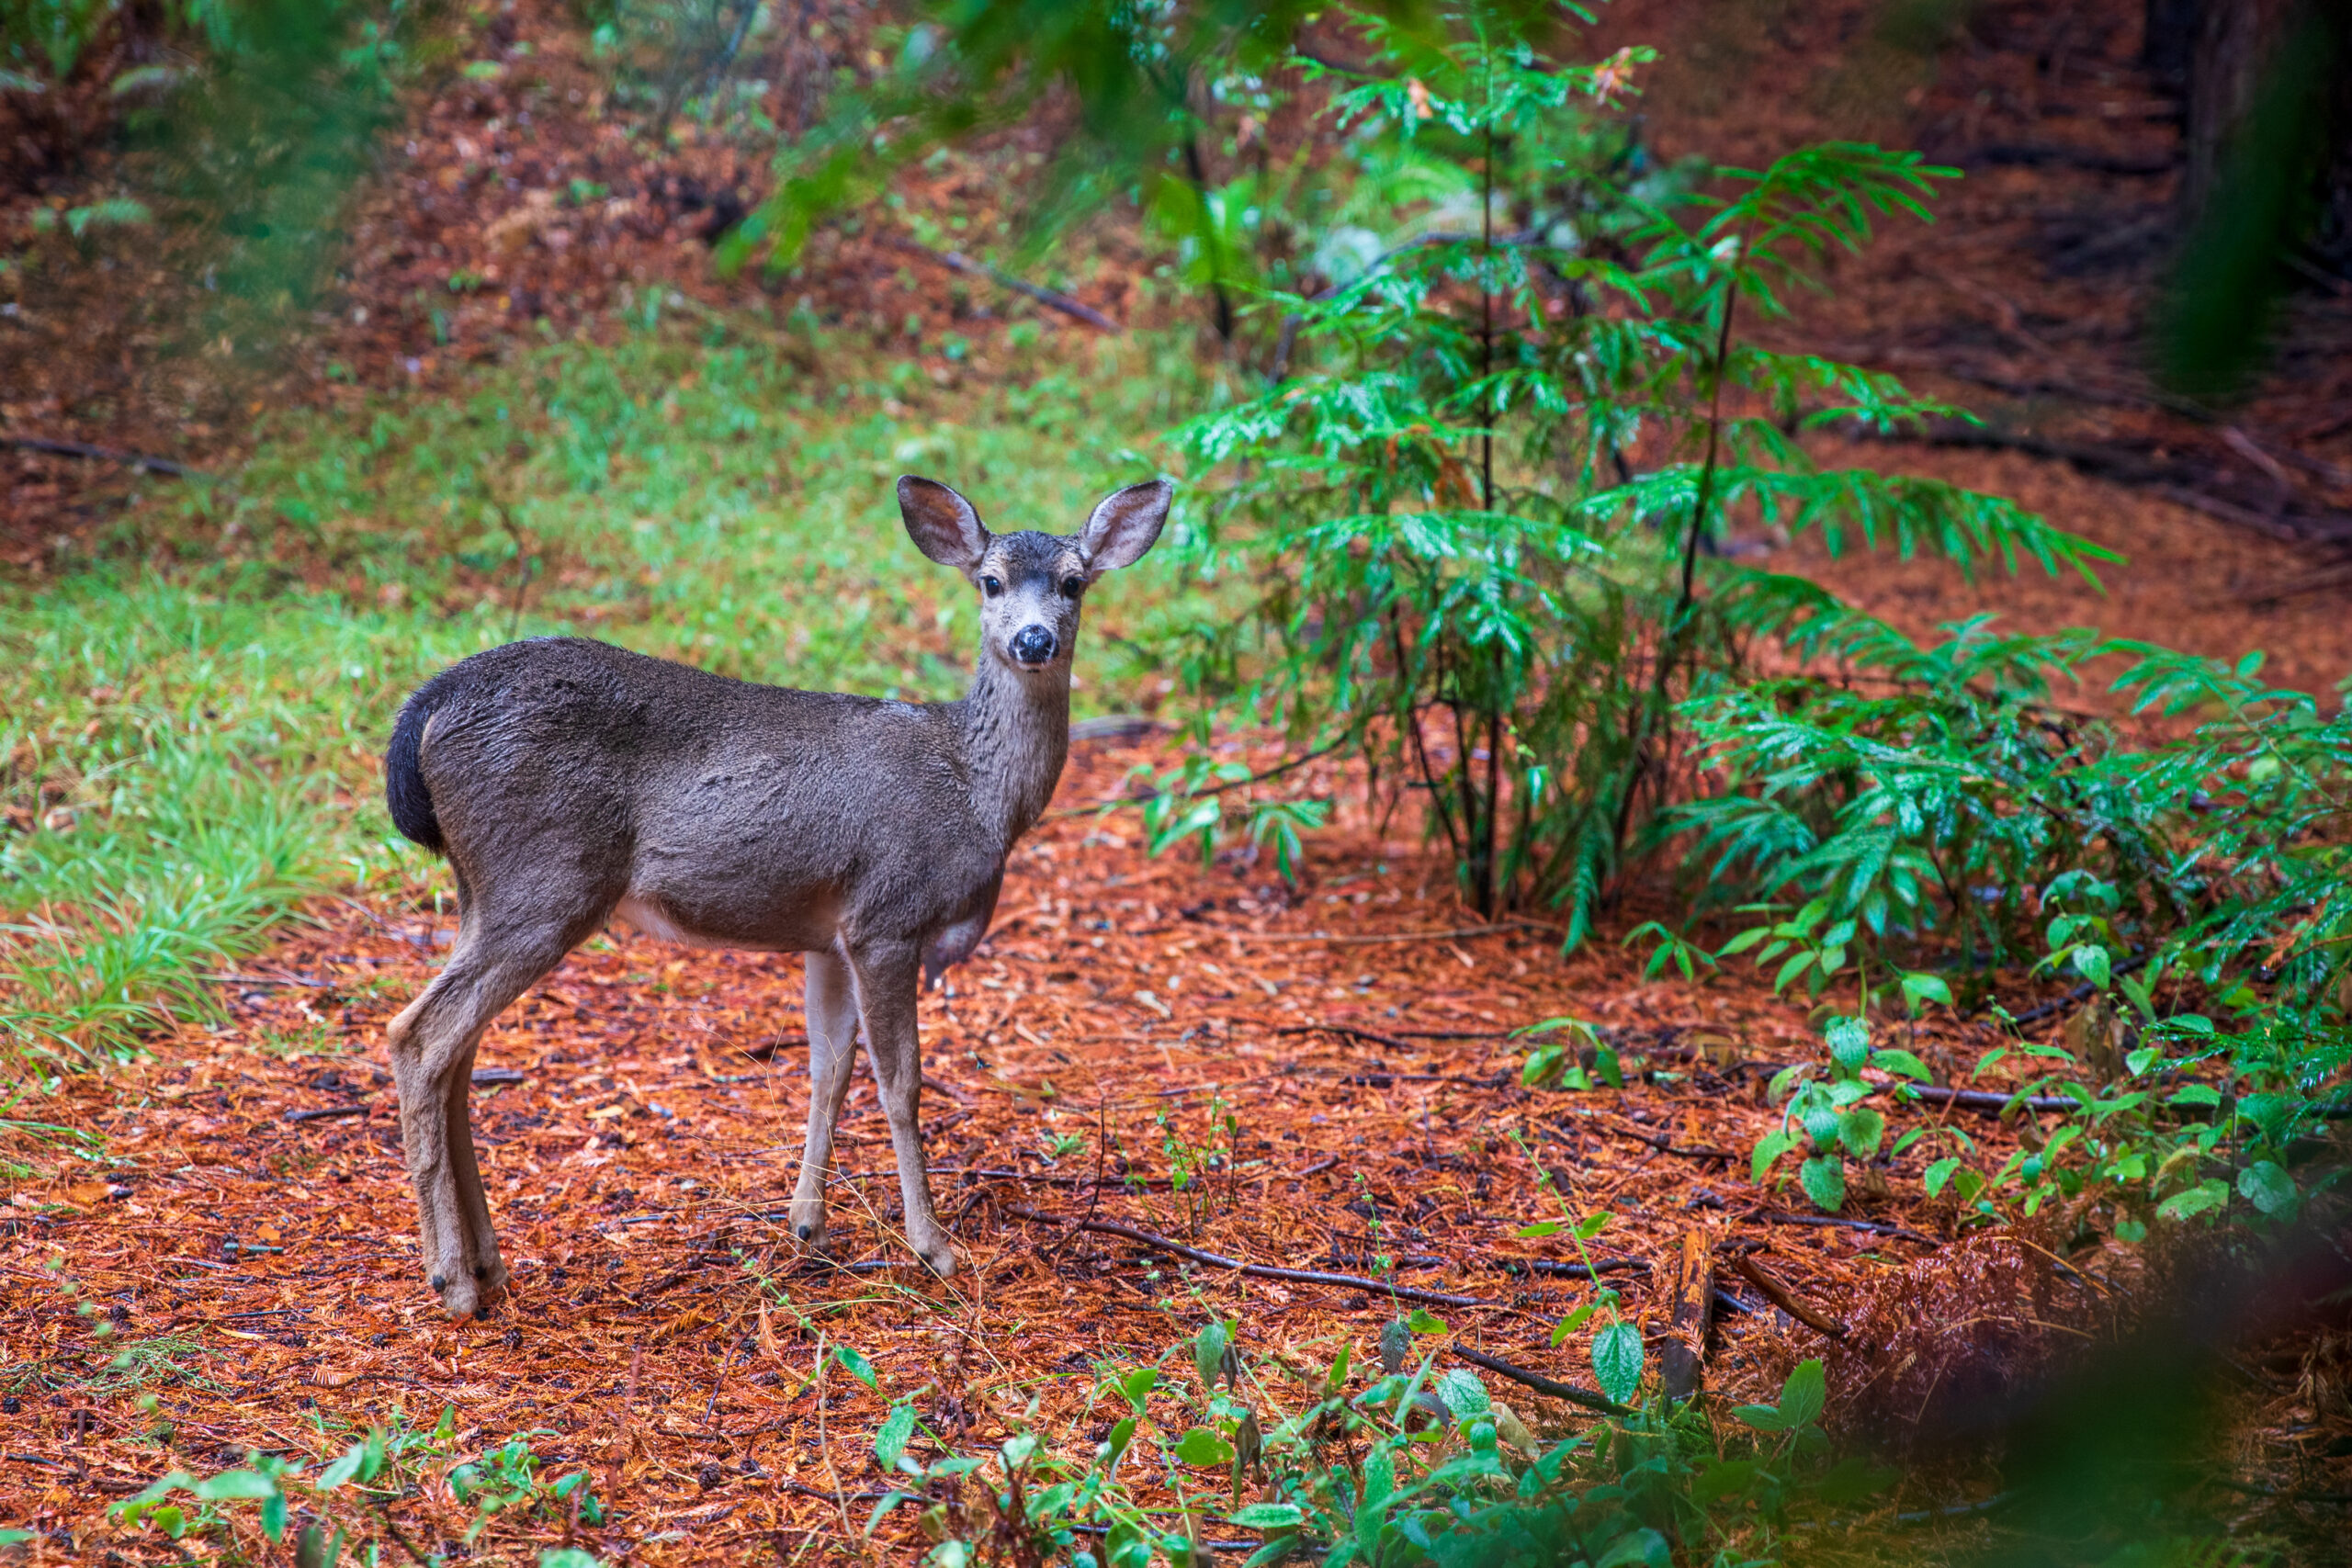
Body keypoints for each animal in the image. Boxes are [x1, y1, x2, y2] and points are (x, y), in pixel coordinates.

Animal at [379, 475, 1170, 1317]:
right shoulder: (888, 913)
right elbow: (901, 1080)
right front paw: (933, 1246)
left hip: (485, 887)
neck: (974, 790)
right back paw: (451, 1280)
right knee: (419, 1034)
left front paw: (807, 1224)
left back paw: (489, 1265)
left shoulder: (831, 934)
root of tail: (429, 705)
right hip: (544, 878)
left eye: (1074, 582)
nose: (1034, 640)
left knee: (457, 1051)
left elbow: (829, 1067)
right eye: (989, 581)